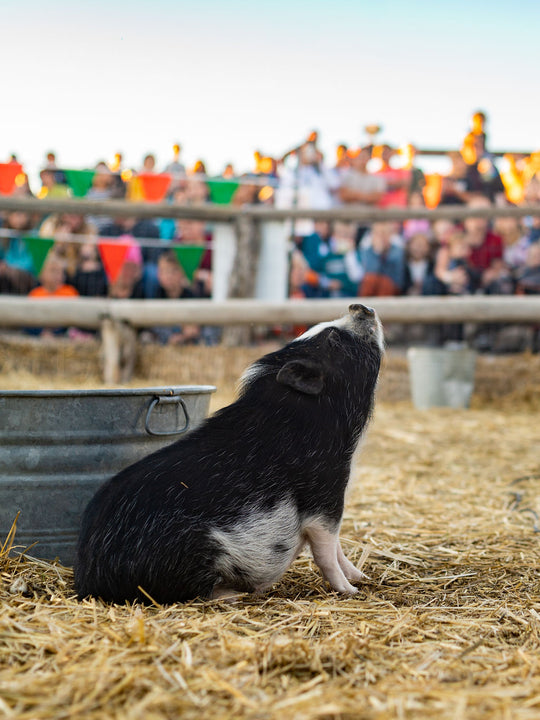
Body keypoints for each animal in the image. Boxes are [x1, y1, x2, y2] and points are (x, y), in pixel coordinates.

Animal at [75, 304, 384, 604]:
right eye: (332, 339)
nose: (360, 306)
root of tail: (88, 580)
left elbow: (338, 547)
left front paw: (361, 578)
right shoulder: (324, 491)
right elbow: (326, 548)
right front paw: (350, 591)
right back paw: (233, 595)